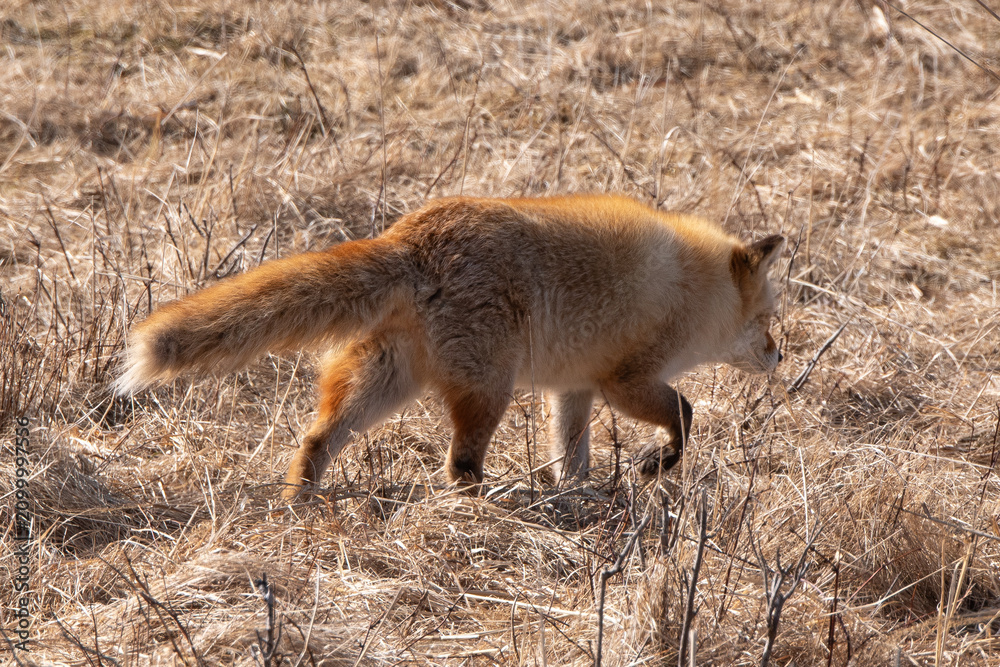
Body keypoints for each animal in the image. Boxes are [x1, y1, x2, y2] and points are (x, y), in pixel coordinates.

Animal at [117, 194, 785, 501]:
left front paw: (579, 497)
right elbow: (686, 417)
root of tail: (412, 234)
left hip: (386, 381)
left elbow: (571, 456)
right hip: (489, 389)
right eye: (768, 319)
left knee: (316, 438)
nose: (781, 357)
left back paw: (300, 498)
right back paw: (490, 508)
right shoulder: (625, 380)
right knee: (458, 466)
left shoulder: (574, 387)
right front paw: (656, 465)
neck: (696, 289)